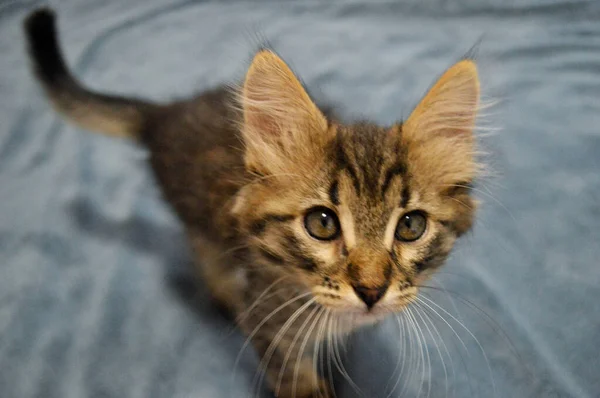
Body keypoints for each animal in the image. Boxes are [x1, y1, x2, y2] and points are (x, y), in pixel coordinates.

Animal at [25, 9, 480, 398]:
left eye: (410, 226)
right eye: (322, 223)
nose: (371, 291)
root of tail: (165, 114)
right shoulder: (269, 323)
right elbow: (293, 376)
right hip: (198, 223)